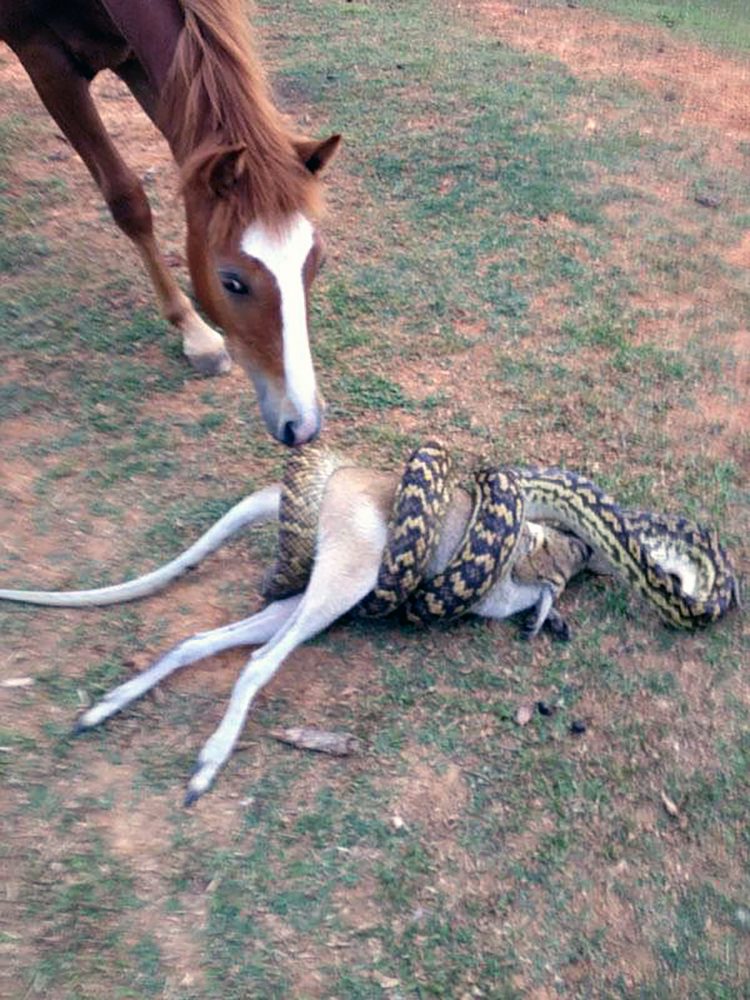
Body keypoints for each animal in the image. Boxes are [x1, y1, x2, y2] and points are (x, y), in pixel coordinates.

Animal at [0, 0, 340, 446]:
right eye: (232, 281)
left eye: (317, 261)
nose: (303, 424)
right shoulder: (46, 61)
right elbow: (127, 200)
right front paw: (195, 332)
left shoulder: (140, 61)